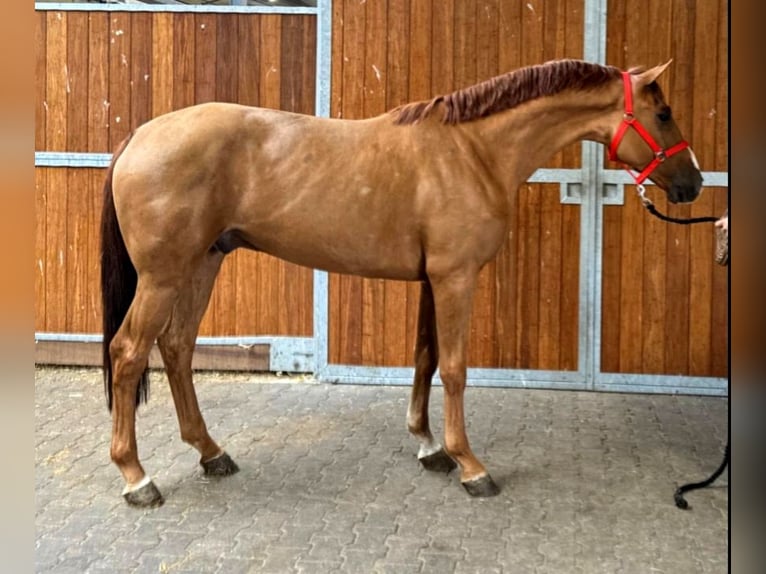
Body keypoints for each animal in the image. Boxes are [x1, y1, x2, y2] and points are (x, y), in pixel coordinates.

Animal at [100, 59, 703, 507]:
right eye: (664, 112)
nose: (693, 183)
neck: (473, 152)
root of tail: (140, 135)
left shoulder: (434, 279)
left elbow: (425, 358)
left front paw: (429, 448)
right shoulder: (456, 277)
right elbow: (455, 369)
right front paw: (471, 467)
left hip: (202, 263)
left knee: (176, 347)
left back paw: (212, 453)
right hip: (164, 275)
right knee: (129, 352)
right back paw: (137, 478)